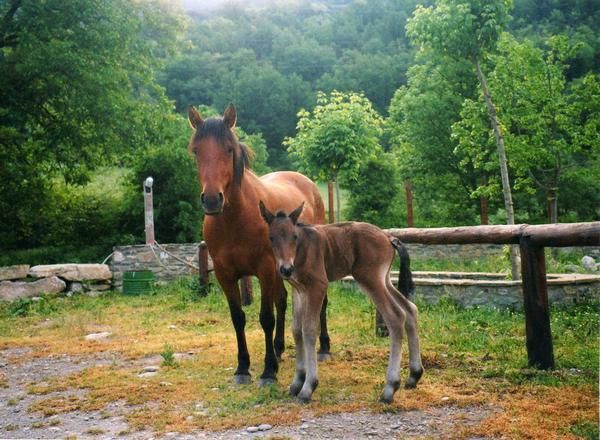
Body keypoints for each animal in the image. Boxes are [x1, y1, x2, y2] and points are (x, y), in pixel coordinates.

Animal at [260, 201, 424, 404]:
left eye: (294, 236)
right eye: (271, 238)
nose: (286, 269)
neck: (302, 250)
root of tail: (388, 237)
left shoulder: (317, 286)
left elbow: (309, 330)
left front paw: (308, 387)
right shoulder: (298, 290)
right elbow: (297, 330)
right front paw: (297, 382)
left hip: (370, 279)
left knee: (395, 317)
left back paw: (389, 389)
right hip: (384, 279)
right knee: (410, 310)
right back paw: (414, 376)